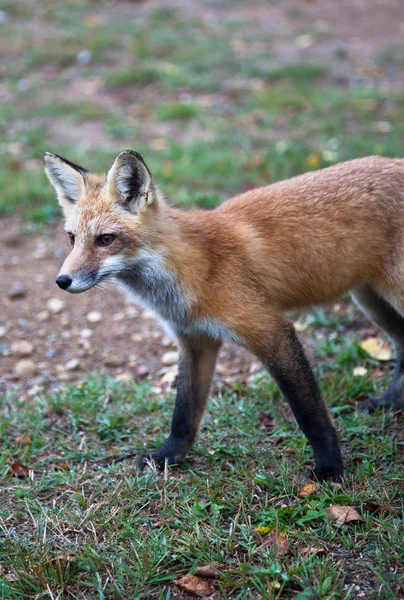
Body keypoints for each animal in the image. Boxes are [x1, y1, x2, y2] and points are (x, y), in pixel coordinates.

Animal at [42, 151, 404, 482]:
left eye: (106, 239)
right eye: (72, 238)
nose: (62, 281)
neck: (196, 267)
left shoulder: (271, 330)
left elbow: (309, 413)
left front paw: (330, 468)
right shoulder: (194, 339)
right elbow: (184, 411)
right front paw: (169, 456)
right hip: (371, 301)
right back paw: (390, 402)